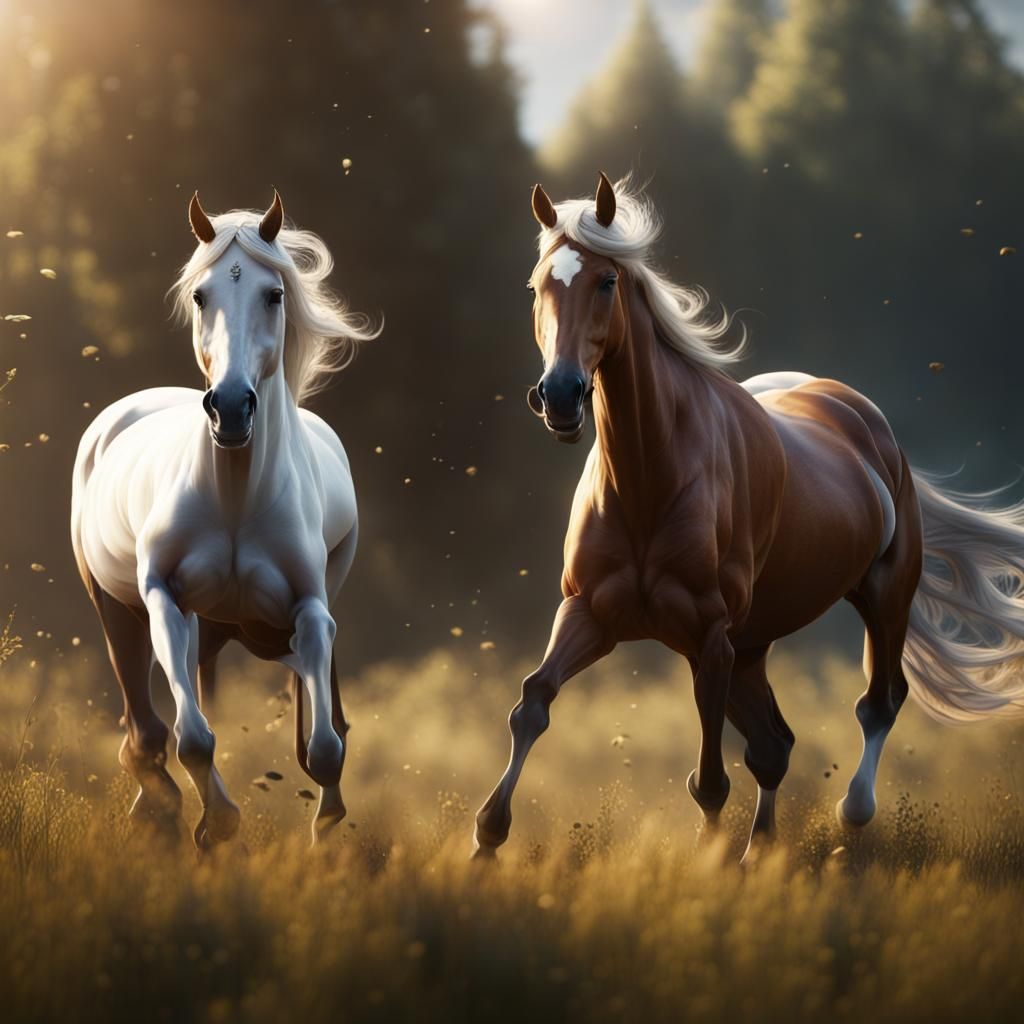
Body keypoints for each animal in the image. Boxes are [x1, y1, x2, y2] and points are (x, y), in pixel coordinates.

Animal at [71, 191, 377, 847]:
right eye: (199, 295)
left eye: (274, 294)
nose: (231, 408)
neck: (235, 499)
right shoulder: (163, 598)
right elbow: (193, 738)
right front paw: (217, 823)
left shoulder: (309, 609)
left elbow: (325, 746)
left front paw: (326, 829)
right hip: (118, 609)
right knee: (146, 729)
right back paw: (159, 807)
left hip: (246, 625)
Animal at [474, 173, 1024, 864]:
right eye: (537, 284)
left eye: (606, 281)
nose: (561, 397)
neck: (650, 474)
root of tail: (865, 419)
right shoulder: (590, 612)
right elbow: (532, 703)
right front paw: (484, 842)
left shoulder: (710, 635)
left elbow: (710, 780)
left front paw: (709, 866)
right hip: (753, 645)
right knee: (775, 745)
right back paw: (761, 856)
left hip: (881, 597)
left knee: (877, 704)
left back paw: (851, 813)